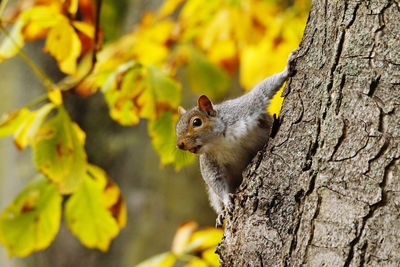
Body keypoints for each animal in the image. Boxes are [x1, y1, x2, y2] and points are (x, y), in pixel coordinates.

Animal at [175, 49, 296, 227]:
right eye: (176, 129)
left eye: (196, 122)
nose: (180, 145)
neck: (221, 141)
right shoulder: (209, 162)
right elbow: (215, 181)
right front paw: (227, 202)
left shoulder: (245, 108)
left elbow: (262, 91)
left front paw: (286, 69)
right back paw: (221, 214)